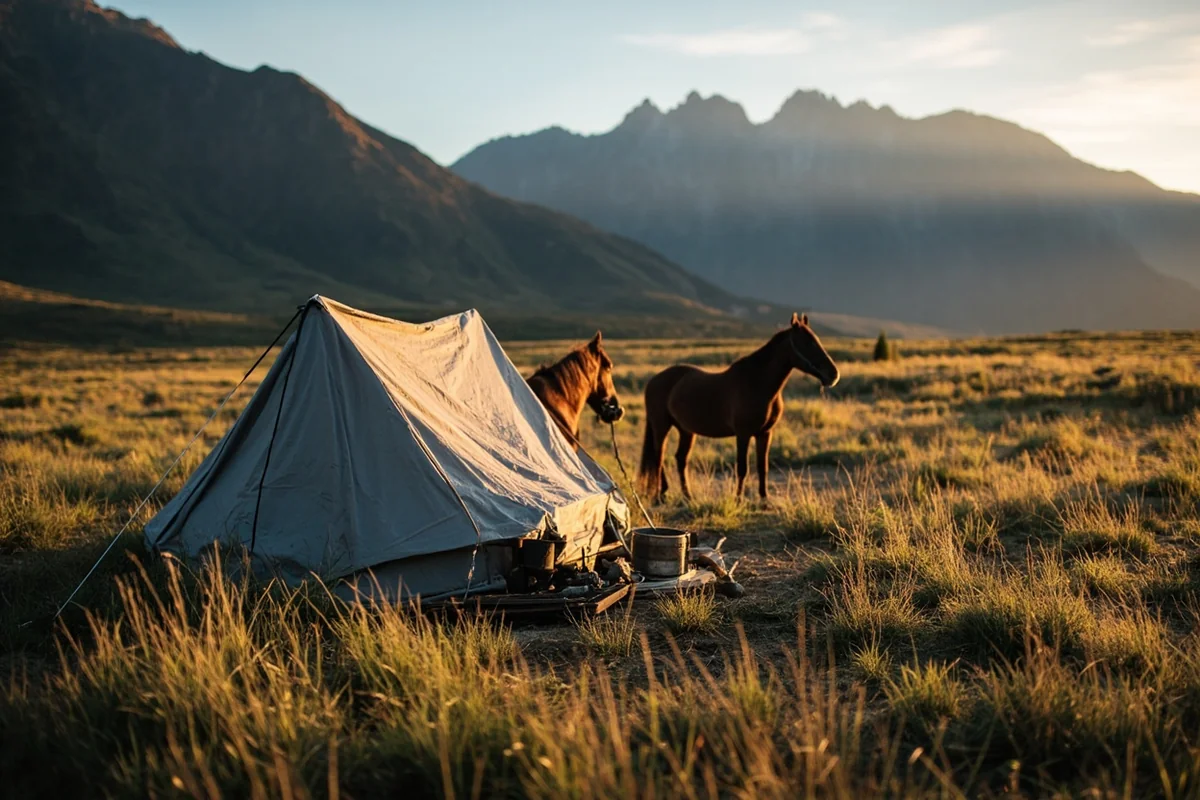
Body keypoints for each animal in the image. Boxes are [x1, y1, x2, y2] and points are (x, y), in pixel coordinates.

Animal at [639, 313, 839, 501]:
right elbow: (742, 468)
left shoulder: (765, 433)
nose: (833, 374)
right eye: (807, 343)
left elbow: (762, 467)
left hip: (686, 431)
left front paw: (764, 498)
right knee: (658, 458)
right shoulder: (743, 434)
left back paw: (685, 495)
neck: (758, 383)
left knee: (679, 459)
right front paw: (738, 499)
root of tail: (653, 380)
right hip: (661, 426)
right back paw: (660, 494)